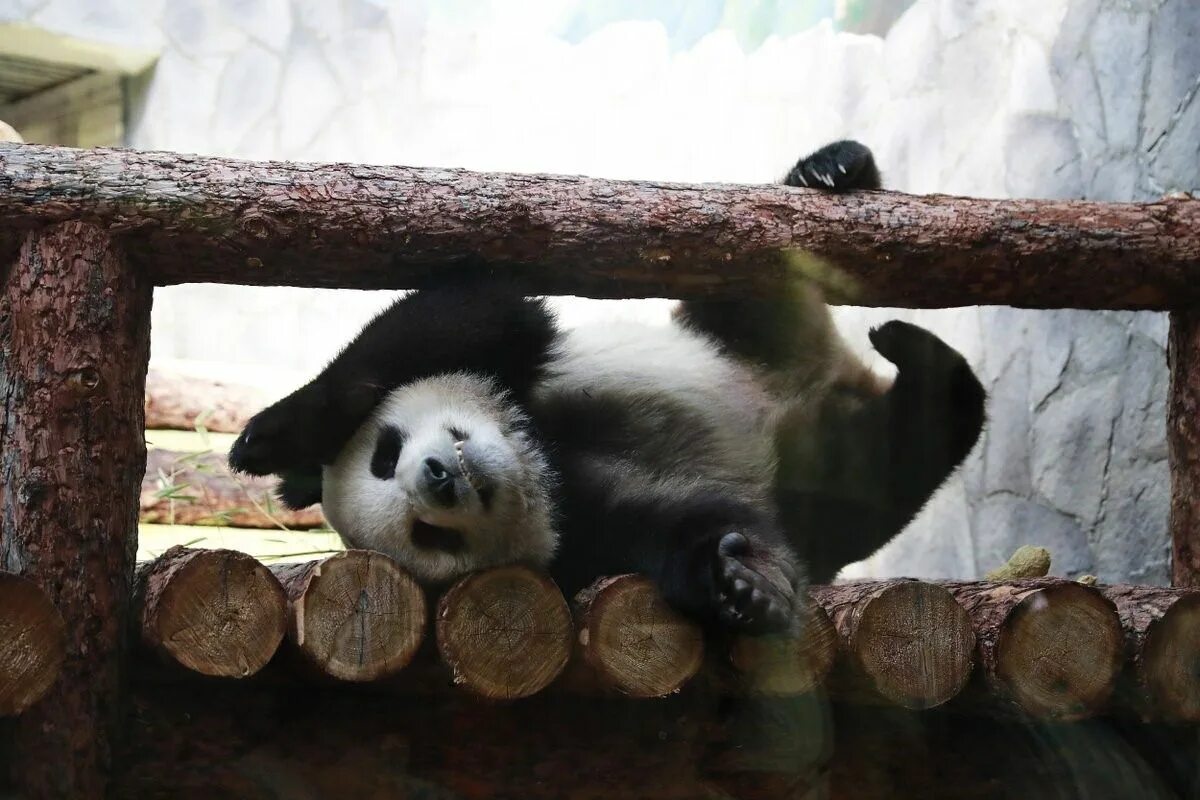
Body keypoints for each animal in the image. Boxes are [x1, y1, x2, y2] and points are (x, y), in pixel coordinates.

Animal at [226, 140, 984, 633]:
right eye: (427, 534)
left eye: (386, 456)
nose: (438, 476)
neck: (538, 455)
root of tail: (827, 375)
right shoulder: (581, 537)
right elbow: (680, 526)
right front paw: (741, 585)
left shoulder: (516, 361)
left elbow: (476, 307)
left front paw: (271, 440)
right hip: (824, 468)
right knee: (894, 462)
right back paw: (932, 372)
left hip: (736, 315)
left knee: (746, 271)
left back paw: (833, 173)